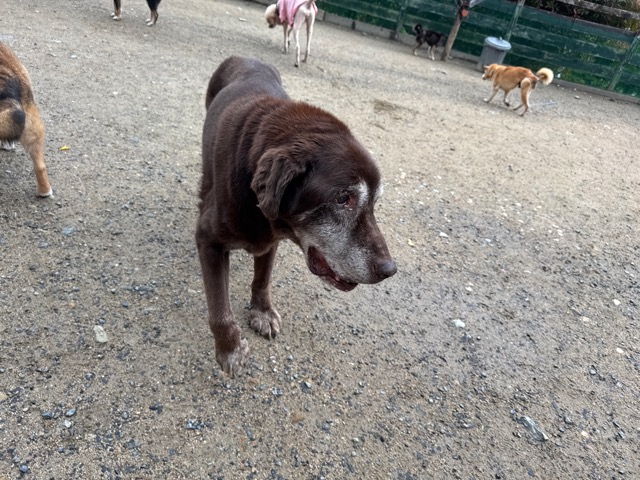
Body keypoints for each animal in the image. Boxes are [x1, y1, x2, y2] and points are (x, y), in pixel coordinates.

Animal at [197, 56, 397, 377]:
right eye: (343, 199)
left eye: (375, 203)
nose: (390, 269)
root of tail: (243, 57)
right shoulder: (208, 241)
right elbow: (219, 310)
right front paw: (229, 349)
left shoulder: (270, 241)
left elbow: (262, 279)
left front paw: (262, 312)